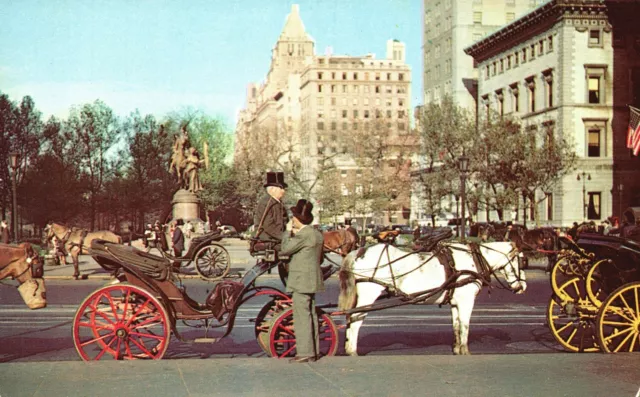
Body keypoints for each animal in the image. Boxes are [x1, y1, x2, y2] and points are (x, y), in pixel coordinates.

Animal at [338, 241, 528, 356]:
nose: (523, 287)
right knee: (355, 319)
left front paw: (457, 349)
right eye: (521, 261)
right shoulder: (466, 301)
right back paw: (352, 350)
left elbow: (456, 326)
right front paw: (465, 351)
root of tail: (359, 251)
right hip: (369, 294)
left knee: (349, 318)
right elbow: (465, 325)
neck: (473, 260)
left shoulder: (455, 302)